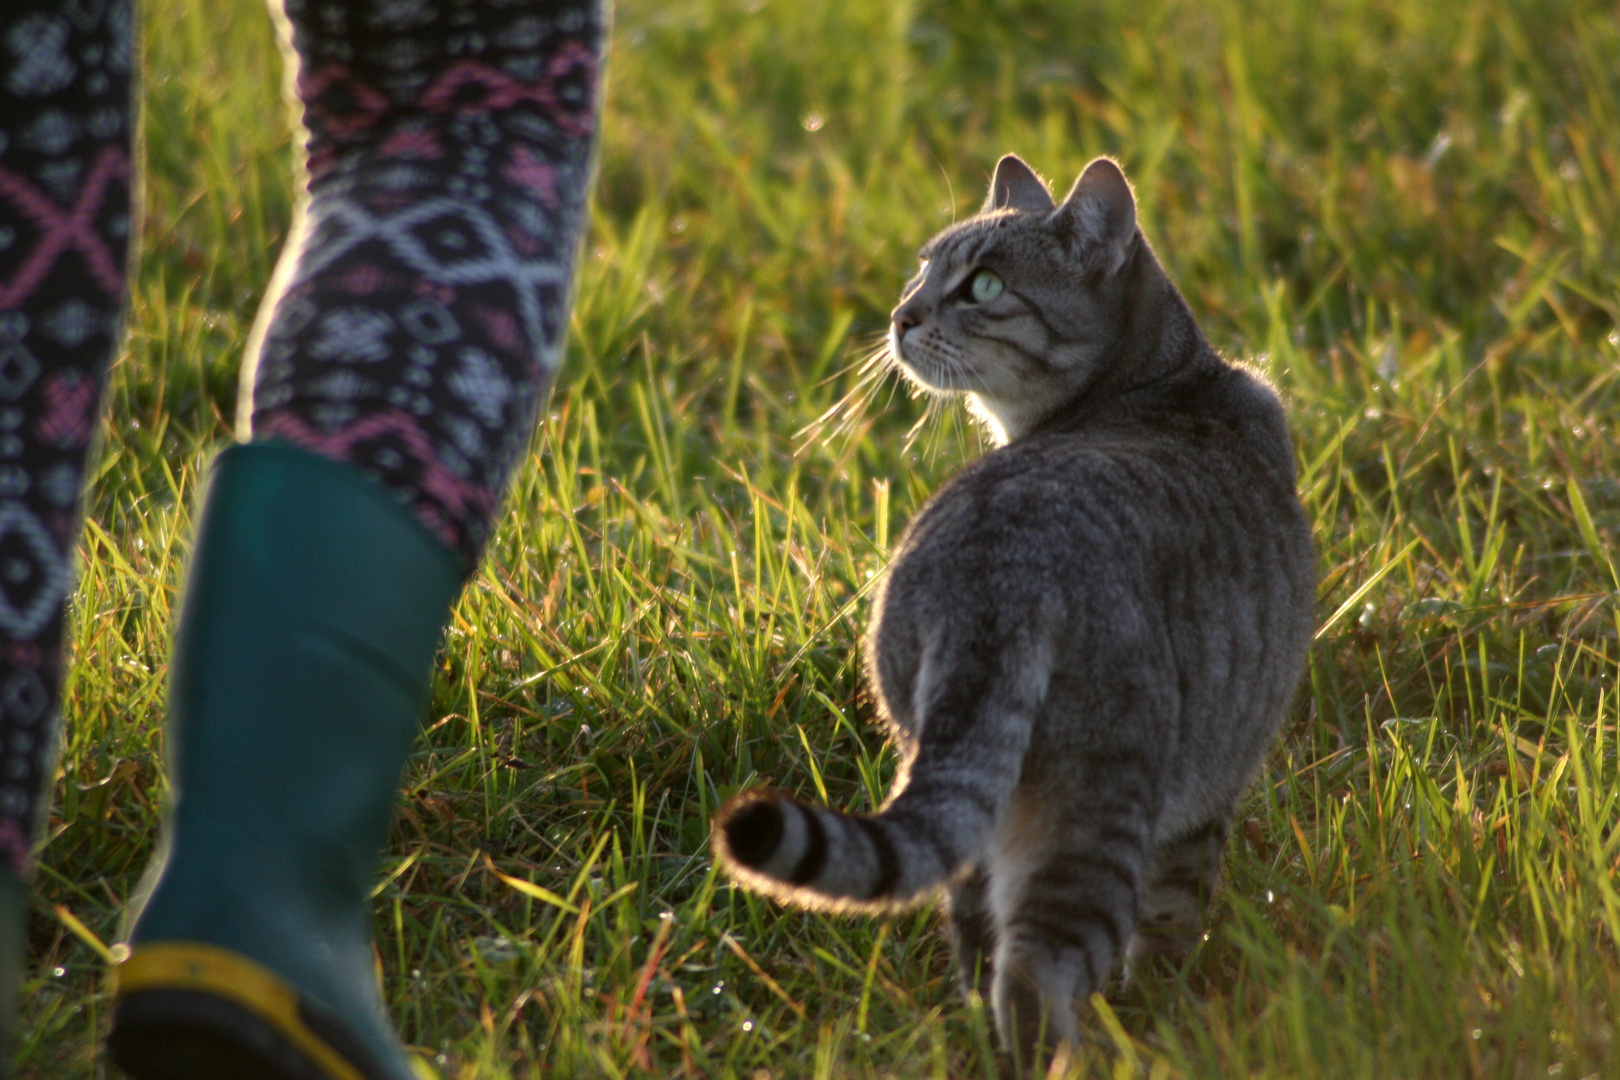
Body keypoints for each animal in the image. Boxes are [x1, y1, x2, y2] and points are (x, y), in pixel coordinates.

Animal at [719, 153, 1315, 1062]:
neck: (1170, 380)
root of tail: (995, 578)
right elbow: (1175, 922)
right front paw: (1169, 1009)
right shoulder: (1208, 797)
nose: (900, 315)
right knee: (1035, 972)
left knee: (976, 946)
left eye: (985, 285)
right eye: (923, 270)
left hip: (970, 793)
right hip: (1098, 808)